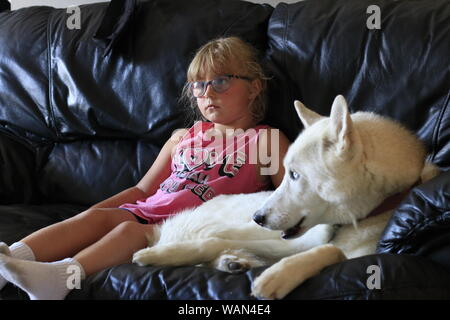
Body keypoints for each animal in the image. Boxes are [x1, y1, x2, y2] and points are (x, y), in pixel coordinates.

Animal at [132, 95, 434, 298]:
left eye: (295, 175)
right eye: (287, 172)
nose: (257, 217)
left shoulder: (346, 252)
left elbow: (331, 251)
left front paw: (278, 275)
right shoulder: (294, 241)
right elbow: (213, 241)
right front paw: (161, 255)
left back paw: (234, 262)